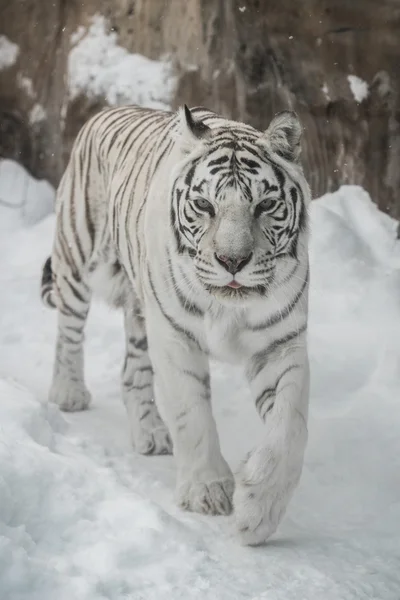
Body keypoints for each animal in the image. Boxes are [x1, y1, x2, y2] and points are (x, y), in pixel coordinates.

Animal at [41, 103, 310, 544]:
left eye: (265, 205)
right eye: (204, 206)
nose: (233, 261)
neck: (227, 307)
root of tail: (107, 109)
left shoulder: (280, 343)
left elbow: (290, 425)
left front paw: (256, 512)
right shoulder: (175, 336)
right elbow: (192, 412)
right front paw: (207, 491)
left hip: (140, 311)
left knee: (132, 372)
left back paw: (149, 432)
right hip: (78, 254)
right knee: (69, 329)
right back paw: (68, 393)